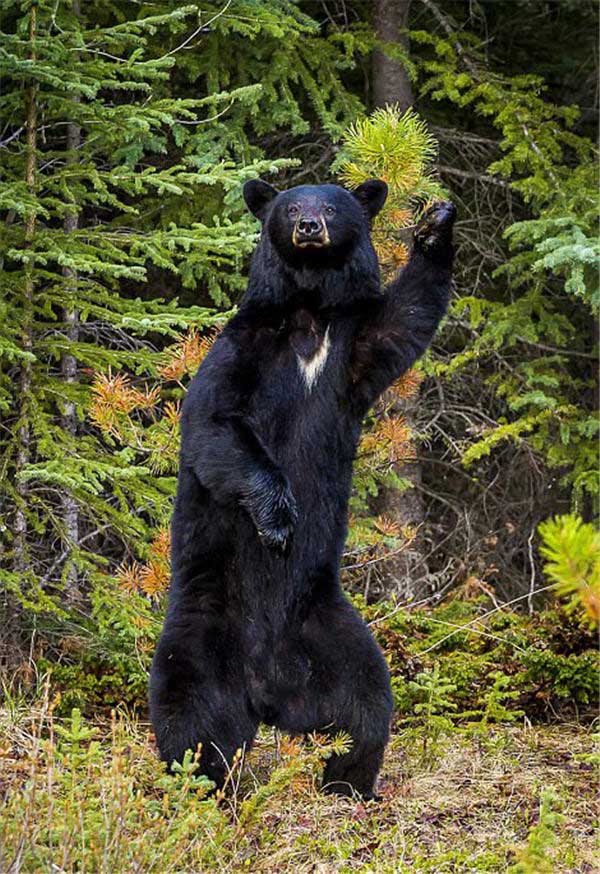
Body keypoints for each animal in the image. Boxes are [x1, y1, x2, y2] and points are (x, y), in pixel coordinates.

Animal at [150, 179, 454, 796]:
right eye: (291, 207)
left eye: (331, 206)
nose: (308, 228)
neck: (309, 314)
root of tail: (266, 690)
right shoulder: (243, 347)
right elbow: (215, 422)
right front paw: (278, 518)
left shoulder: (353, 347)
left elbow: (404, 320)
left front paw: (436, 225)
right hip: (201, 633)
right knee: (192, 721)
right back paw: (204, 789)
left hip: (329, 633)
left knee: (366, 706)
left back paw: (350, 785)